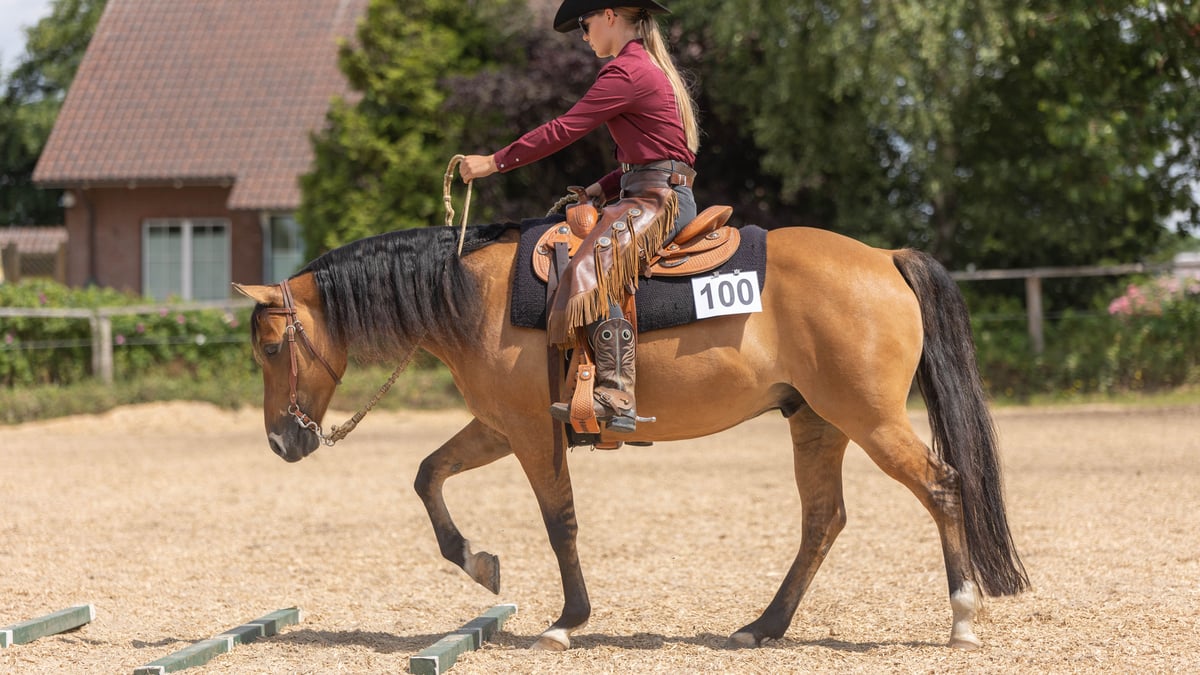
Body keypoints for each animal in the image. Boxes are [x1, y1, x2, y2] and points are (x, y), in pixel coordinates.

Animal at [236, 220, 1032, 653]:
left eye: (272, 347)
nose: (280, 443)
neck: (476, 296)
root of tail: (884, 257)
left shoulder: (531, 432)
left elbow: (559, 521)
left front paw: (567, 620)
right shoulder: (501, 425)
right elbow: (428, 473)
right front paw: (480, 563)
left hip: (869, 419)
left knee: (942, 487)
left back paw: (962, 619)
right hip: (816, 422)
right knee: (823, 520)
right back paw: (762, 626)